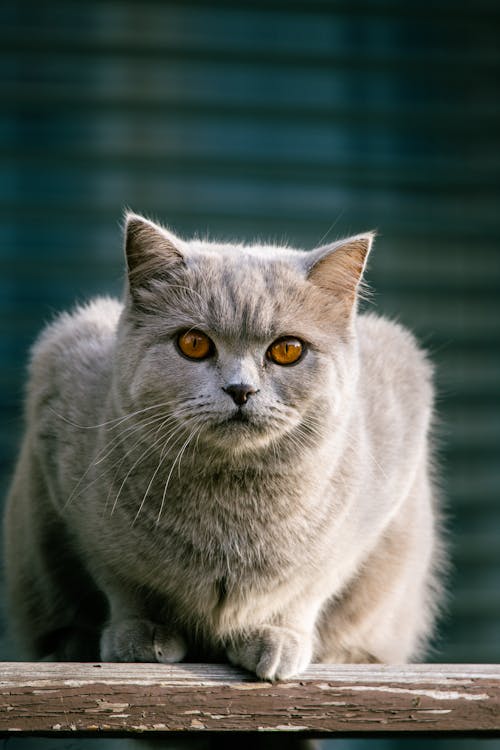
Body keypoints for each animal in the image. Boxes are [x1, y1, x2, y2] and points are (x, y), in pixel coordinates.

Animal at [2, 213, 442, 680]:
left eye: (288, 350)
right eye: (194, 344)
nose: (240, 389)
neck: (231, 505)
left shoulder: (357, 528)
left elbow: (307, 588)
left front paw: (277, 636)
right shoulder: (82, 513)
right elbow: (124, 583)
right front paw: (143, 634)